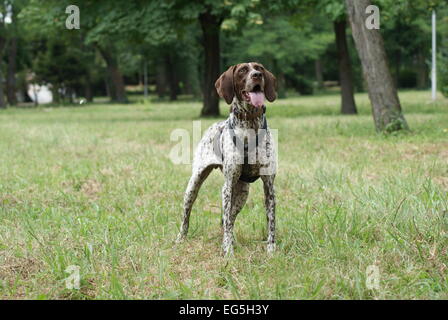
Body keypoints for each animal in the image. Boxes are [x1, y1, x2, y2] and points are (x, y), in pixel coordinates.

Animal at [176, 61, 276, 254]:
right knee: (188, 217)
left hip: (242, 194)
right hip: (194, 185)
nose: (257, 75)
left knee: (229, 219)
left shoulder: (269, 187)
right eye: (243, 70)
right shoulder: (227, 186)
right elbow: (227, 222)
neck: (250, 122)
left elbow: (271, 222)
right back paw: (181, 239)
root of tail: (214, 126)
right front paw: (228, 251)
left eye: (259, 67)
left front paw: (272, 250)